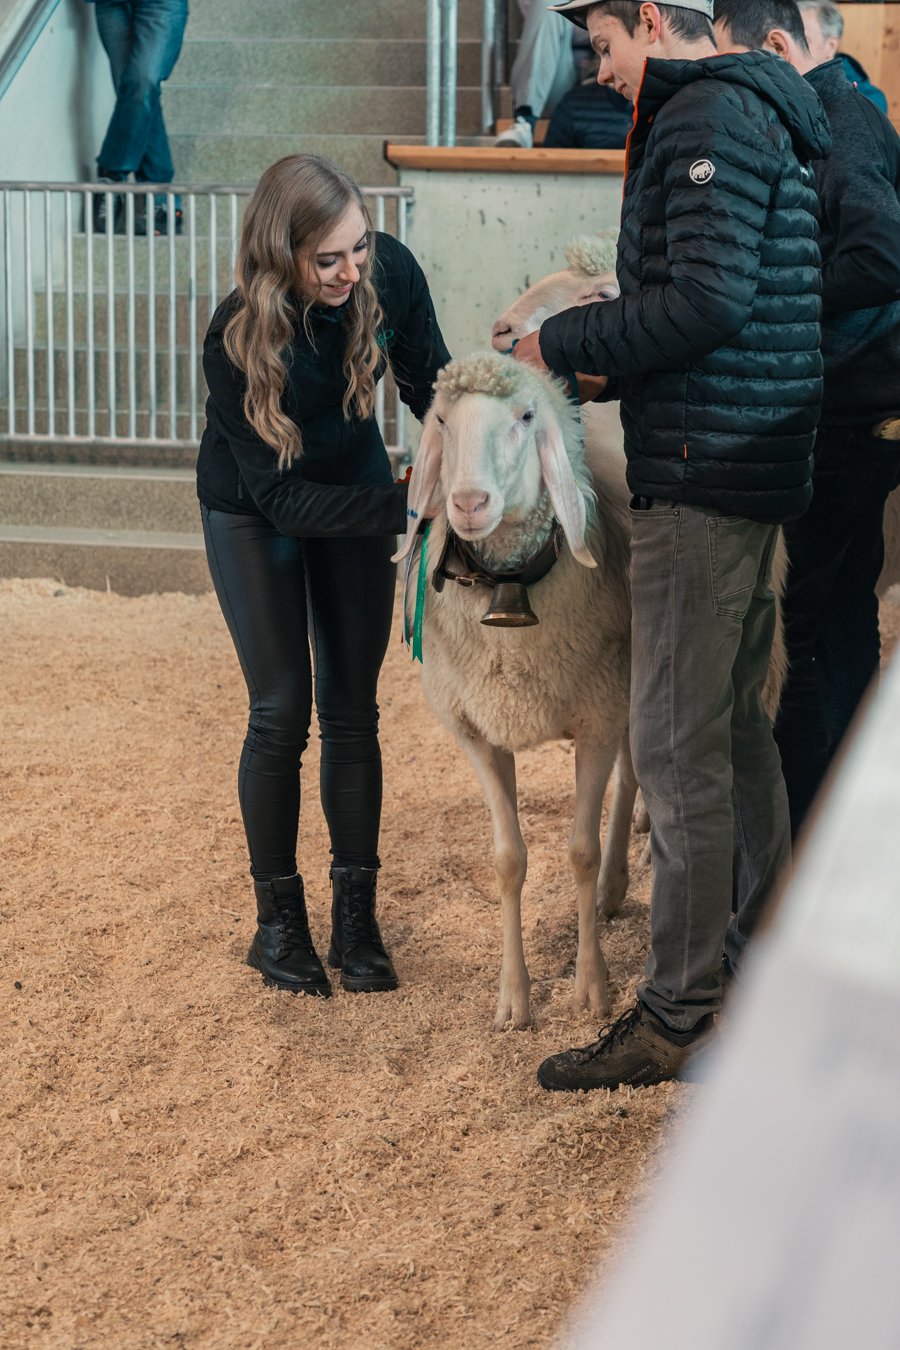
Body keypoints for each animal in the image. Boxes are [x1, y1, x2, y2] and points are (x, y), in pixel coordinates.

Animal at [393, 353, 637, 1031]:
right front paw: (514, 998)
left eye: (526, 418)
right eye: (441, 421)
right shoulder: (478, 732)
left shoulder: (597, 719)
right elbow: (508, 861)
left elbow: (578, 852)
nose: (469, 503)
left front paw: (590, 988)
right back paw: (614, 888)